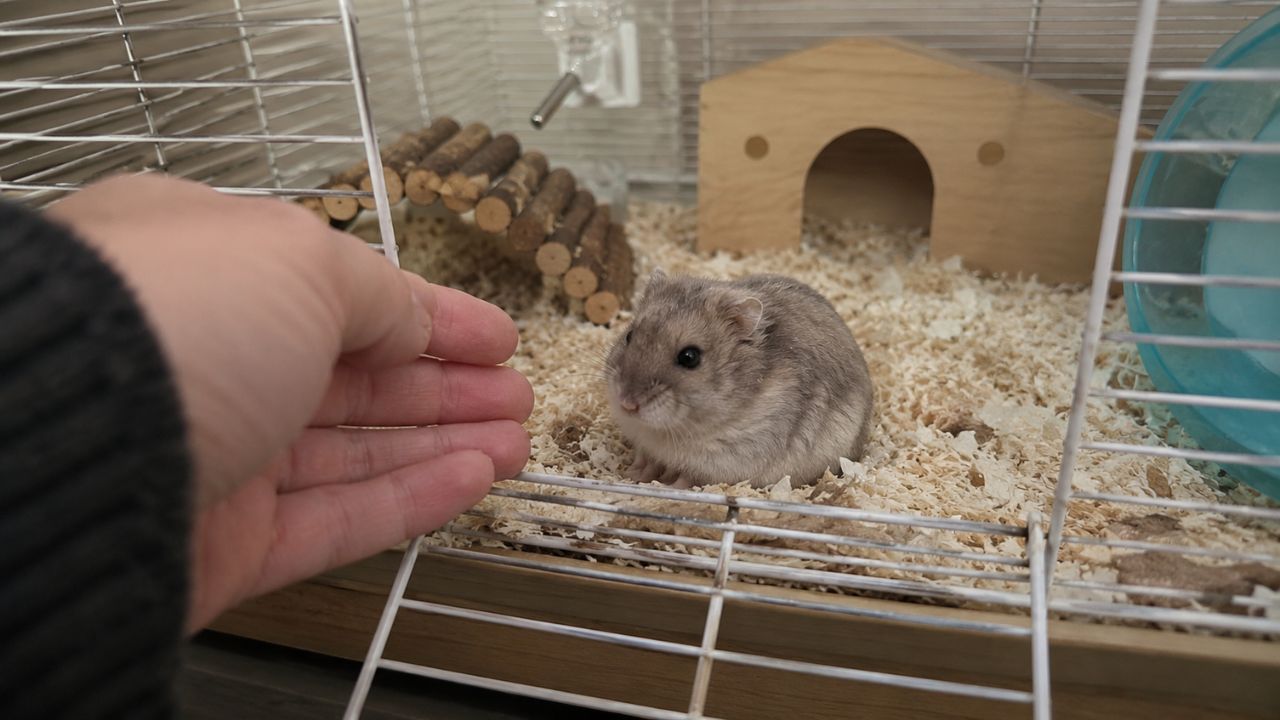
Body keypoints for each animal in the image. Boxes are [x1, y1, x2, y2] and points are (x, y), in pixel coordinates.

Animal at [604, 270, 874, 489]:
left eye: (690, 357)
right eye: (629, 336)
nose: (627, 404)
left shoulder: (722, 463)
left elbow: (688, 477)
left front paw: (666, 486)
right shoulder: (645, 445)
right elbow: (647, 460)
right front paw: (631, 474)